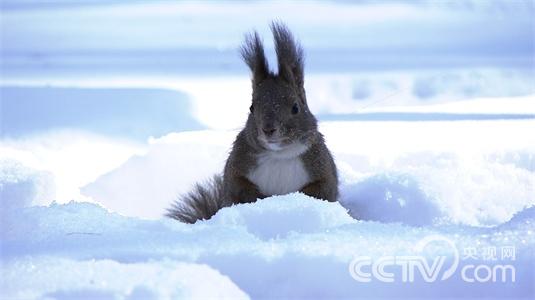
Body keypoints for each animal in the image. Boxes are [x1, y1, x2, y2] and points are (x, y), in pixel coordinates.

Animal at [168, 21, 340, 223]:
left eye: (295, 108)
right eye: (251, 107)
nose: (268, 129)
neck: (279, 155)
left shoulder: (322, 167)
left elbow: (323, 189)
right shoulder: (237, 165)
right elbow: (237, 186)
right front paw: (259, 198)